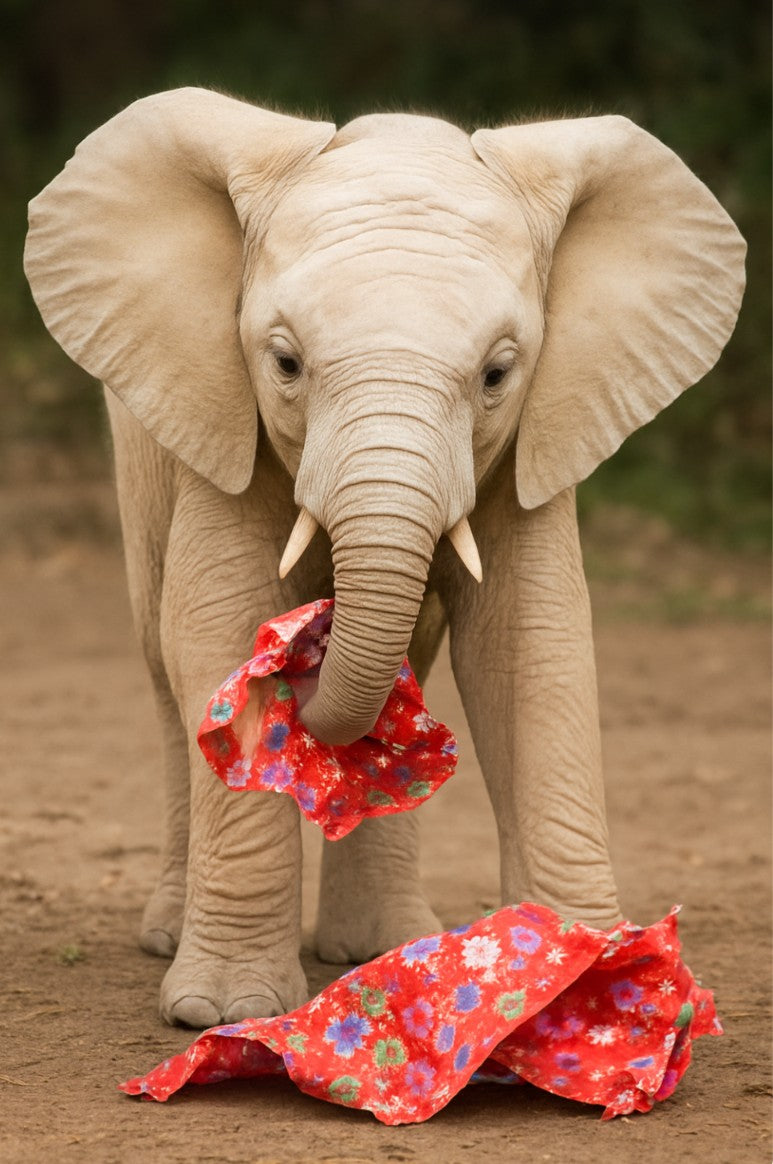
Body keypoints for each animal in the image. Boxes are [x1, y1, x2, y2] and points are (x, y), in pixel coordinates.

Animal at [24, 88, 745, 1029]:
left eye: (498, 375)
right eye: (284, 363)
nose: (308, 639)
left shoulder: (539, 440)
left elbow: (527, 654)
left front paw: (600, 995)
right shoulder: (220, 418)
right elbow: (214, 623)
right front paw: (221, 1014)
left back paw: (378, 947)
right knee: (158, 658)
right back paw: (172, 937)